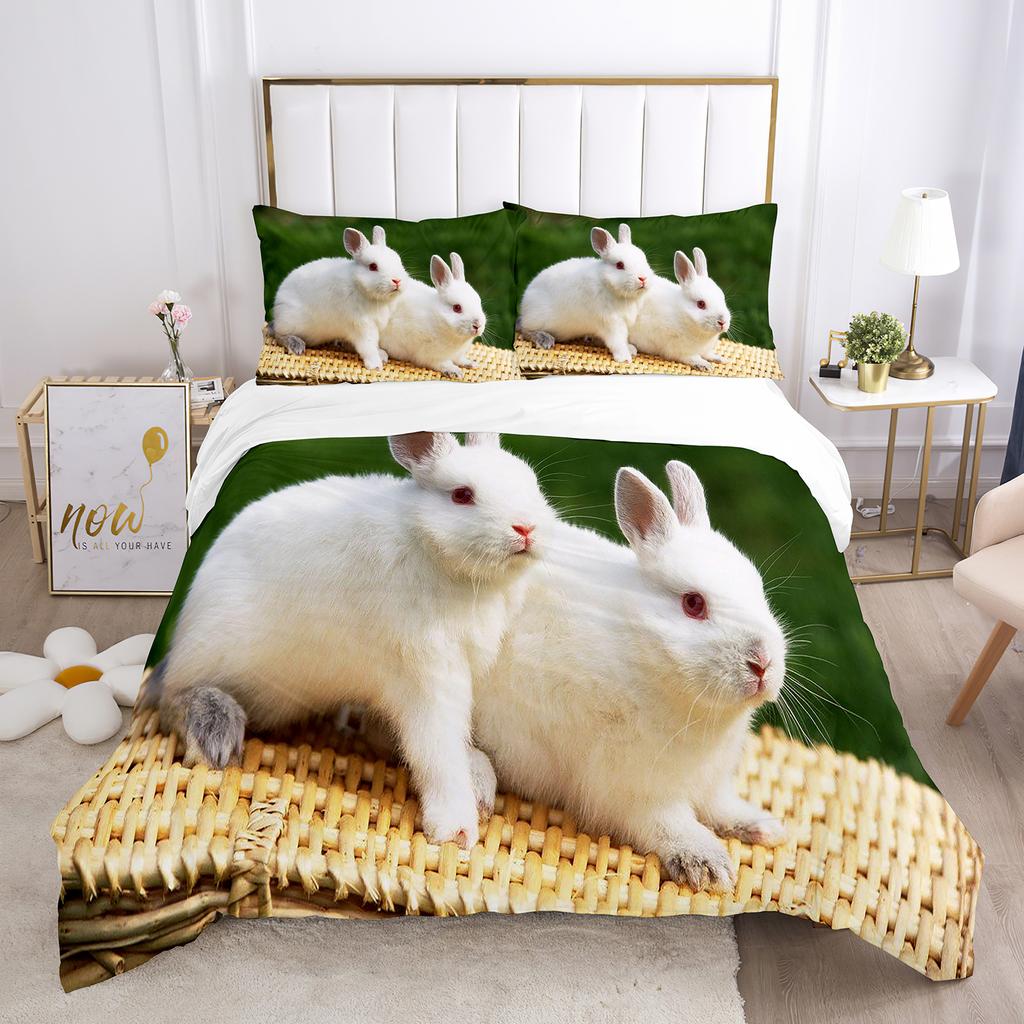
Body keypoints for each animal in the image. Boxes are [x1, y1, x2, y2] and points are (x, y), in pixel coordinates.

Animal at [150, 431, 557, 850]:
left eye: (532, 483)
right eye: (462, 495)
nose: (526, 529)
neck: (433, 551)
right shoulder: (427, 676)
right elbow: (437, 750)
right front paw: (455, 829)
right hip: (210, 659)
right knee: (171, 701)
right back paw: (216, 732)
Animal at [270, 225, 407, 369]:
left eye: (399, 261)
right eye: (373, 266)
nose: (397, 280)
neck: (359, 287)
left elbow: (374, 344)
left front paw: (382, 355)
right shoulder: (362, 326)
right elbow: (368, 346)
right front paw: (375, 365)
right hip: (289, 321)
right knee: (277, 334)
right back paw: (296, 345)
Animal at [473, 460, 787, 892]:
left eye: (758, 590)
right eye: (693, 604)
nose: (762, 663)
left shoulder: (712, 781)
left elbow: (721, 807)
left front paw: (762, 826)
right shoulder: (633, 787)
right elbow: (666, 824)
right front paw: (708, 867)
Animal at [516, 223, 653, 362]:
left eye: (644, 259)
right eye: (619, 265)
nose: (643, 278)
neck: (608, 285)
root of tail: (524, 304)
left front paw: (631, 349)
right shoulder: (611, 323)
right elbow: (617, 341)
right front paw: (624, 358)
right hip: (536, 319)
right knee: (525, 331)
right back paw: (544, 339)